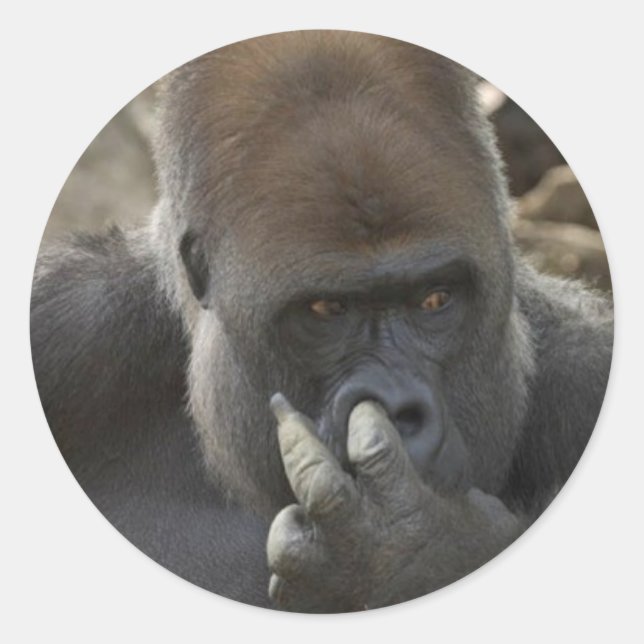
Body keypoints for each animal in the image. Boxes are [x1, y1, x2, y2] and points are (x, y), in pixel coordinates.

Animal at [30, 31, 613, 612]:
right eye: (327, 310)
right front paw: (402, 544)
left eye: (434, 300)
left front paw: (407, 549)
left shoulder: (586, 369)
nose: (398, 411)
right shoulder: (64, 323)